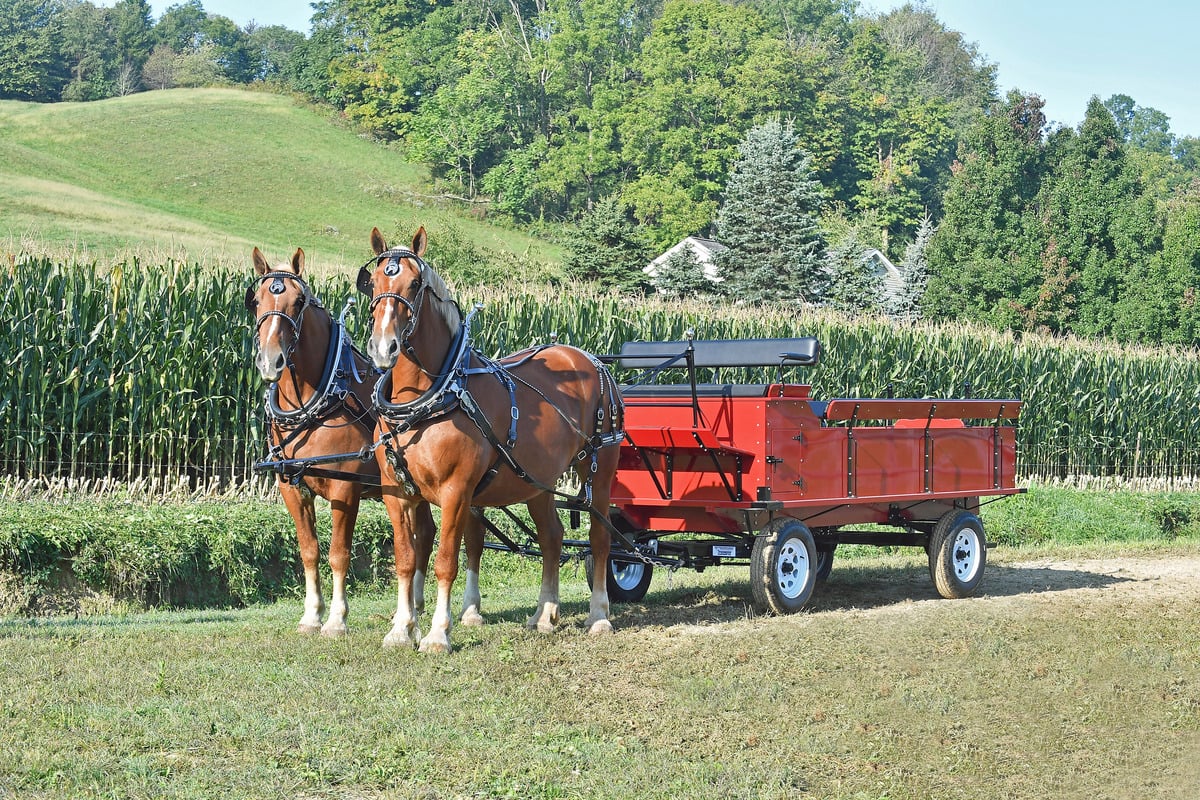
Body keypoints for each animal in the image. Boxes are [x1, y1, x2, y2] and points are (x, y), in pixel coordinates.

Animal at [245, 246, 446, 635]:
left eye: (298, 302)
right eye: (257, 300)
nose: (271, 361)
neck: (315, 400)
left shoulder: (345, 490)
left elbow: (339, 553)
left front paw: (337, 619)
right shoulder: (292, 489)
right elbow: (309, 550)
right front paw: (311, 615)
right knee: (425, 533)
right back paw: (412, 608)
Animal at [359, 226, 625, 654]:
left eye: (414, 284)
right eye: (373, 283)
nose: (384, 347)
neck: (428, 398)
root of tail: (588, 358)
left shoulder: (456, 490)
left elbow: (446, 560)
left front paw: (438, 633)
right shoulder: (396, 492)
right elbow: (405, 558)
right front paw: (401, 629)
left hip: (599, 467)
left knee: (600, 536)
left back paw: (599, 616)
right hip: (538, 481)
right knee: (552, 537)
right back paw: (544, 615)